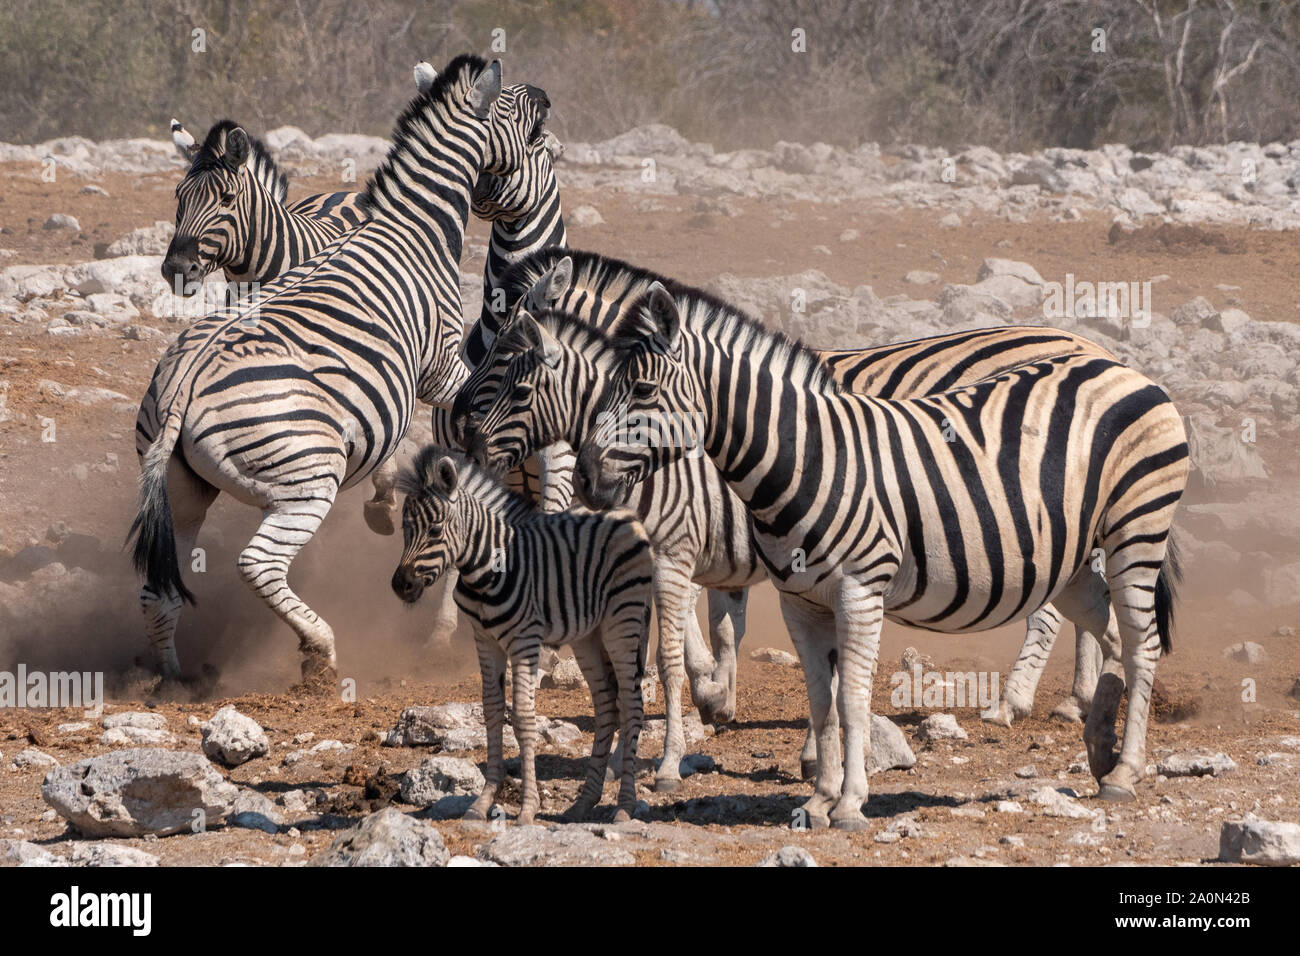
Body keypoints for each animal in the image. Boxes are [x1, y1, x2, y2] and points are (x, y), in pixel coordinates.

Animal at [129, 55, 548, 682]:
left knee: (159, 590)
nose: (545, 99)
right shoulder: (440, 365)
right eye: (513, 109)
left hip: (180, 487)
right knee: (258, 565)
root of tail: (185, 385)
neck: (414, 227)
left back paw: (172, 678)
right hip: (306, 479)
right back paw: (319, 652)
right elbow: (462, 412)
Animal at [391, 447, 650, 823]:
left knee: (632, 705)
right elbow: (492, 711)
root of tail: (627, 516)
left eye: (436, 529)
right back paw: (584, 803)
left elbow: (524, 718)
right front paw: (482, 803)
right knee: (606, 705)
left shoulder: (525, 641)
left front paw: (528, 808)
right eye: (405, 529)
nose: (401, 585)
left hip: (623, 620)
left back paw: (625, 807)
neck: (487, 564)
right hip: (589, 635)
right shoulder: (485, 641)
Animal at [578, 283, 1188, 824]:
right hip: (1071, 563)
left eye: (643, 391)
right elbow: (821, 700)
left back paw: (1124, 771)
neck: (808, 458)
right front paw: (818, 801)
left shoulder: (859, 591)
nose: (584, 475)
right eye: (605, 387)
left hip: (1136, 529)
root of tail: (1121, 368)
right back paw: (1100, 748)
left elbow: (851, 700)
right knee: (1114, 635)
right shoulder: (800, 601)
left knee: (1142, 645)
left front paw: (849, 804)